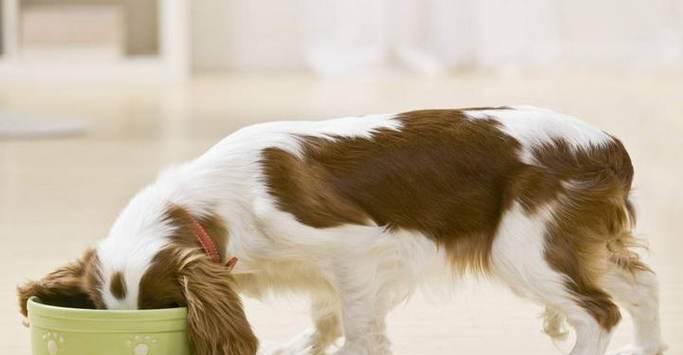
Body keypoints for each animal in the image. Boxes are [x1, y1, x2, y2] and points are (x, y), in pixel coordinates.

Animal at [18, 107, 664, 355]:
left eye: (166, 310)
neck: (209, 207)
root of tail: (607, 145)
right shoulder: (323, 272)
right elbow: (325, 313)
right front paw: (304, 343)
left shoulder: (356, 251)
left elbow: (357, 326)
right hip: (575, 246)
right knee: (641, 289)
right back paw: (650, 347)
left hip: (524, 251)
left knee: (599, 313)